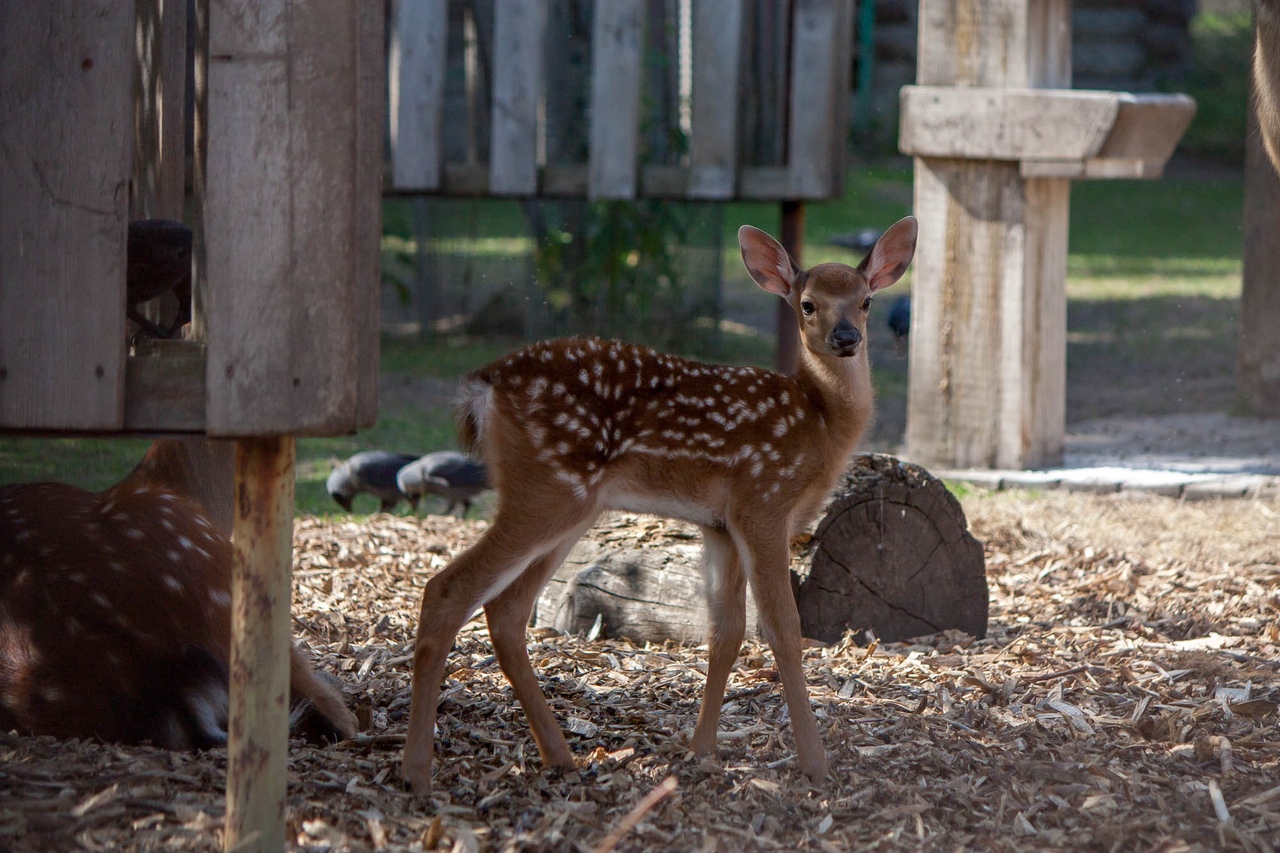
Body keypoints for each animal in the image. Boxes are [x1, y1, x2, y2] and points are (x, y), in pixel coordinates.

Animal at [404, 212, 916, 788]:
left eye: (866, 300)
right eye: (808, 303)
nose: (847, 336)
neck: (820, 424)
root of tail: (484, 384)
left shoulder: (720, 524)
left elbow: (726, 633)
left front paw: (701, 751)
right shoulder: (763, 501)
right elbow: (783, 629)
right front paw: (816, 765)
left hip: (568, 503)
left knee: (507, 610)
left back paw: (561, 757)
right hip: (547, 488)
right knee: (448, 589)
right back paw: (416, 771)